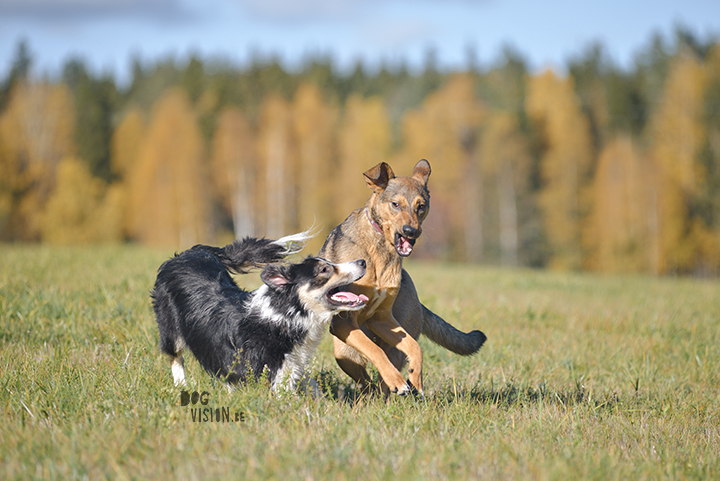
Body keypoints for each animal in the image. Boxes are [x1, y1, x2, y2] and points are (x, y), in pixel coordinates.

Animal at [150, 232, 368, 394]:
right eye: (324, 270)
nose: (363, 262)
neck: (288, 313)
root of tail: (189, 252)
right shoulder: (273, 372)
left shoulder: (293, 363)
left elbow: (310, 384)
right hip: (170, 326)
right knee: (176, 356)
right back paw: (182, 386)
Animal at [322, 159, 486, 396]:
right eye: (395, 205)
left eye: (421, 206)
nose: (411, 231)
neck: (380, 251)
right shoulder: (345, 322)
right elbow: (375, 351)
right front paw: (401, 381)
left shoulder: (382, 319)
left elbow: (415, 348)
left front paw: (415, 378)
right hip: (345, 352)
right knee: (366, 381)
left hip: (392, 340)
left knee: (381, 381)